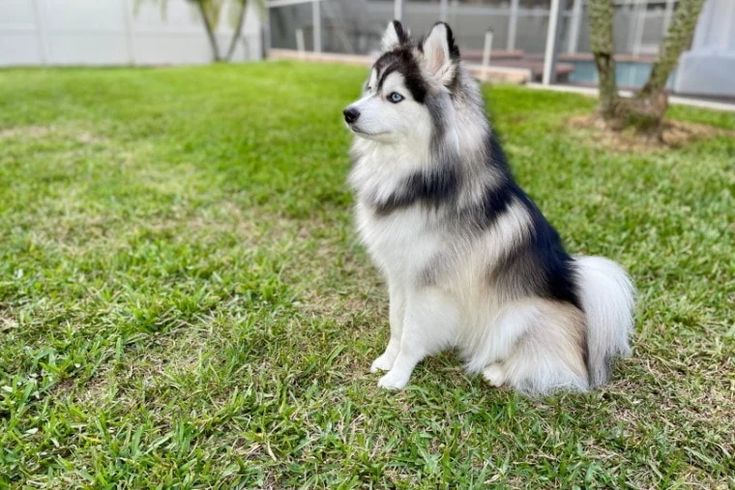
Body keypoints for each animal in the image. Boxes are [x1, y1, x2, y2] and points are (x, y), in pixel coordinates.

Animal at [342, 21, 636, 394]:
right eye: (370, 88)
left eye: (394, 96)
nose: (348, 113)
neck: (420, 178)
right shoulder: (399, 274)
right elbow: (397, 323)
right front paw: (386, 360)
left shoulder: (430, 284)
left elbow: (412, 334)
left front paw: (398, 376)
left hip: (516, 315)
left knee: (554, 368)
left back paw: (497, 371)